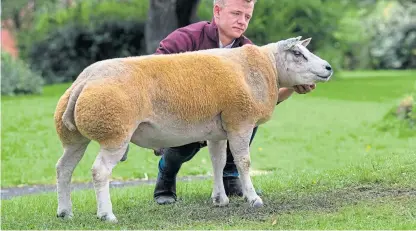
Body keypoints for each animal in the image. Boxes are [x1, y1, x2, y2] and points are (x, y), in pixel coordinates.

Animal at [53, 35, 334, 222]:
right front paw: (253, 199)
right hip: (115, 133)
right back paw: (106, 214)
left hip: (74, 138)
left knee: (63, 169)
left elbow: (218, 163)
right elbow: (243, 162)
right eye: (297, 54)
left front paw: (221, 199)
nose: (329, 68)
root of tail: (84, 80)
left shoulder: (218, 132)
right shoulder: (240, 122)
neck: (267, 69)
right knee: (99, 171)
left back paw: (65, 212)